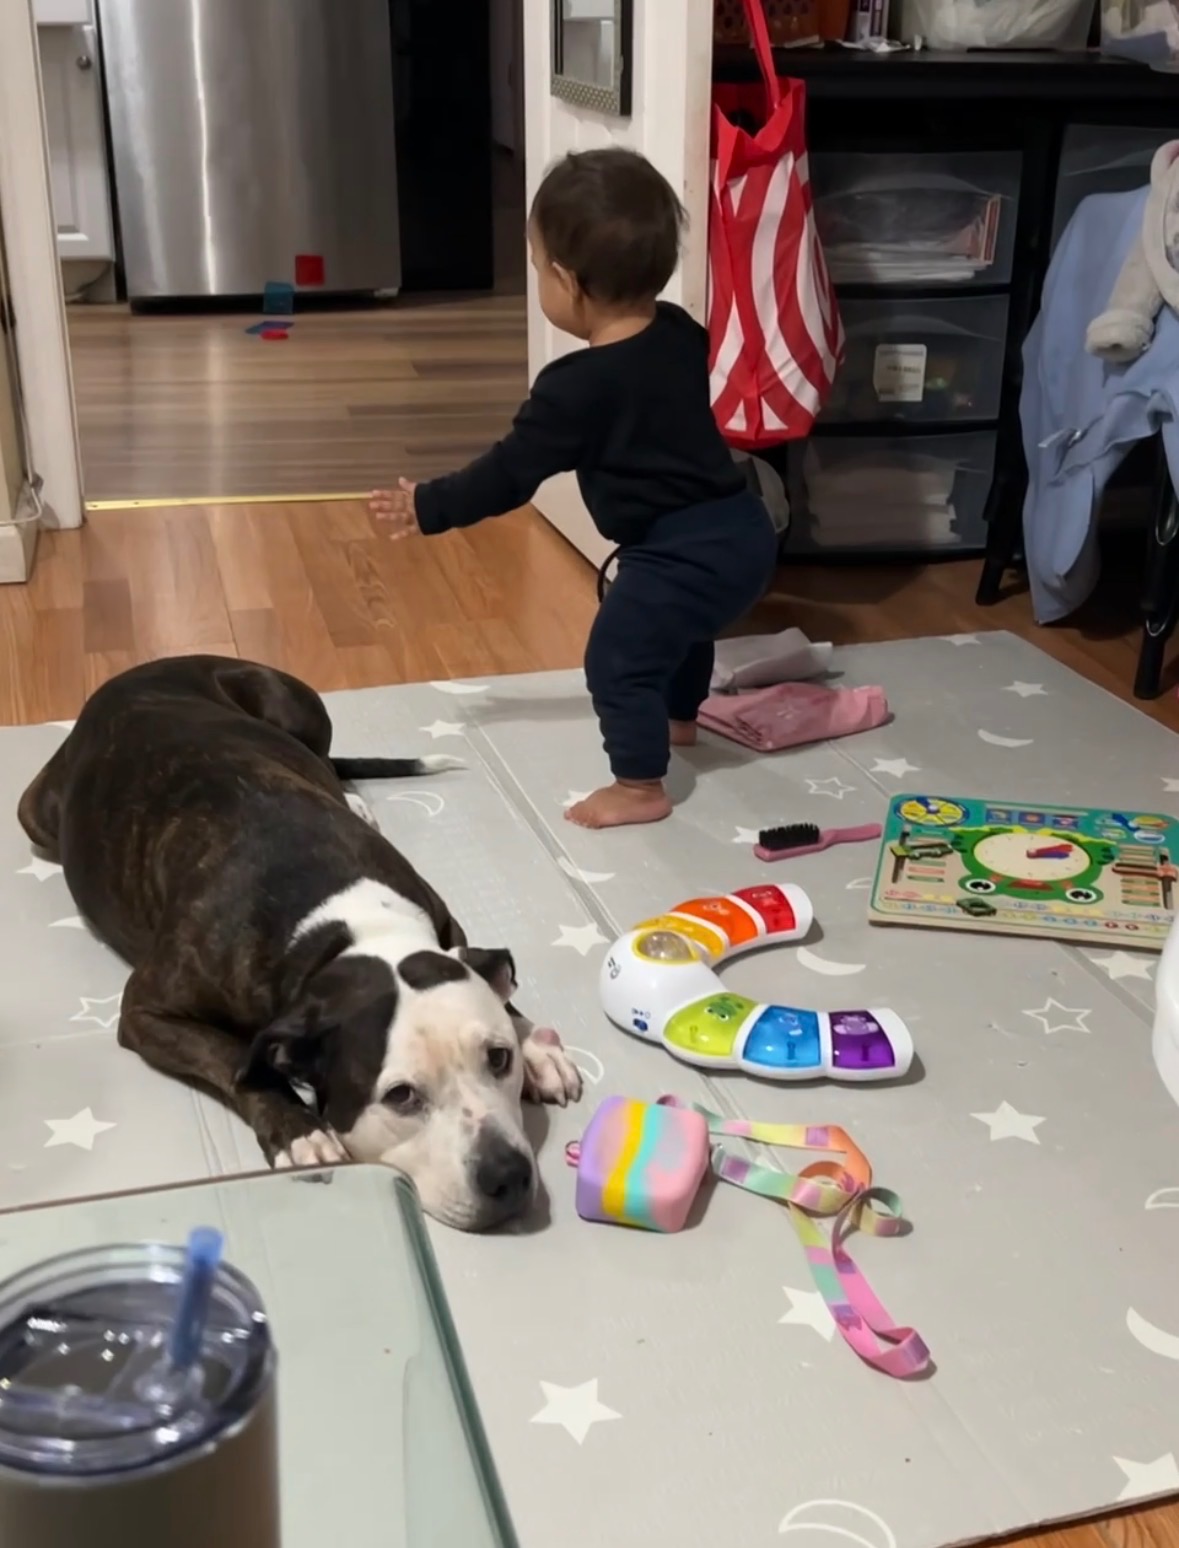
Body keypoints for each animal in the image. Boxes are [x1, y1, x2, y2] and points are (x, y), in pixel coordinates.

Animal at [17, 655, 582, 1230]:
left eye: (499, 1058)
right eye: (400, 1096)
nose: (508, 1175)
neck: (342, 927)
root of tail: (134, 672)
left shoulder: (449, 927)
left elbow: (496, 982)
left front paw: (536, 1047)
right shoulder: (146, 1012)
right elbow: (233, 1059)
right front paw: (301, 1131)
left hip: (294, 709)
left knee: (325, 758)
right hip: (34, 815)